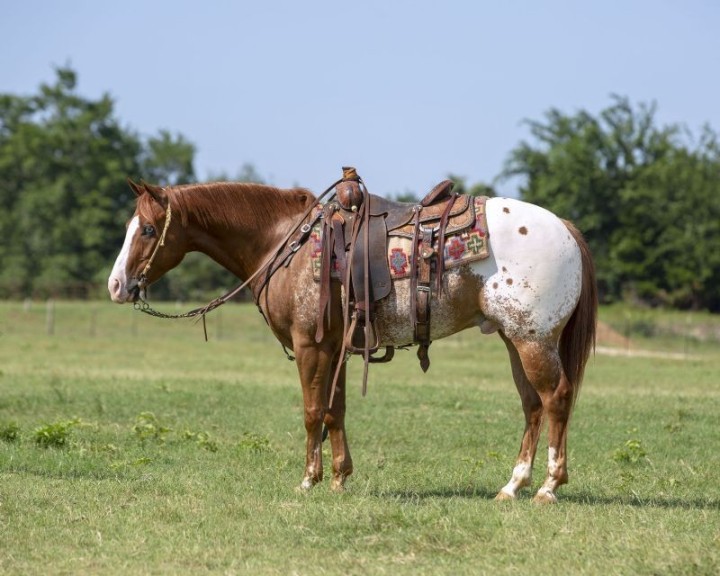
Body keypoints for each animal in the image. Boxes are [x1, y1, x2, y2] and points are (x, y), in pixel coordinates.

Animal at [107, 177, 597, 503]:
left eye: (147, 229)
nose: (116, 286)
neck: (286, 244)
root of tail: (563, 227)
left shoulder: (309, 347)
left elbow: (311, 412)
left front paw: (309, 479)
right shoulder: (335, 347)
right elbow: (334, 411)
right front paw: (341, 477)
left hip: (533, 339)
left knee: (556, 398)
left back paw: (549, 488)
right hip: (515, 340)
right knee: (533, 406)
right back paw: (512, 486)